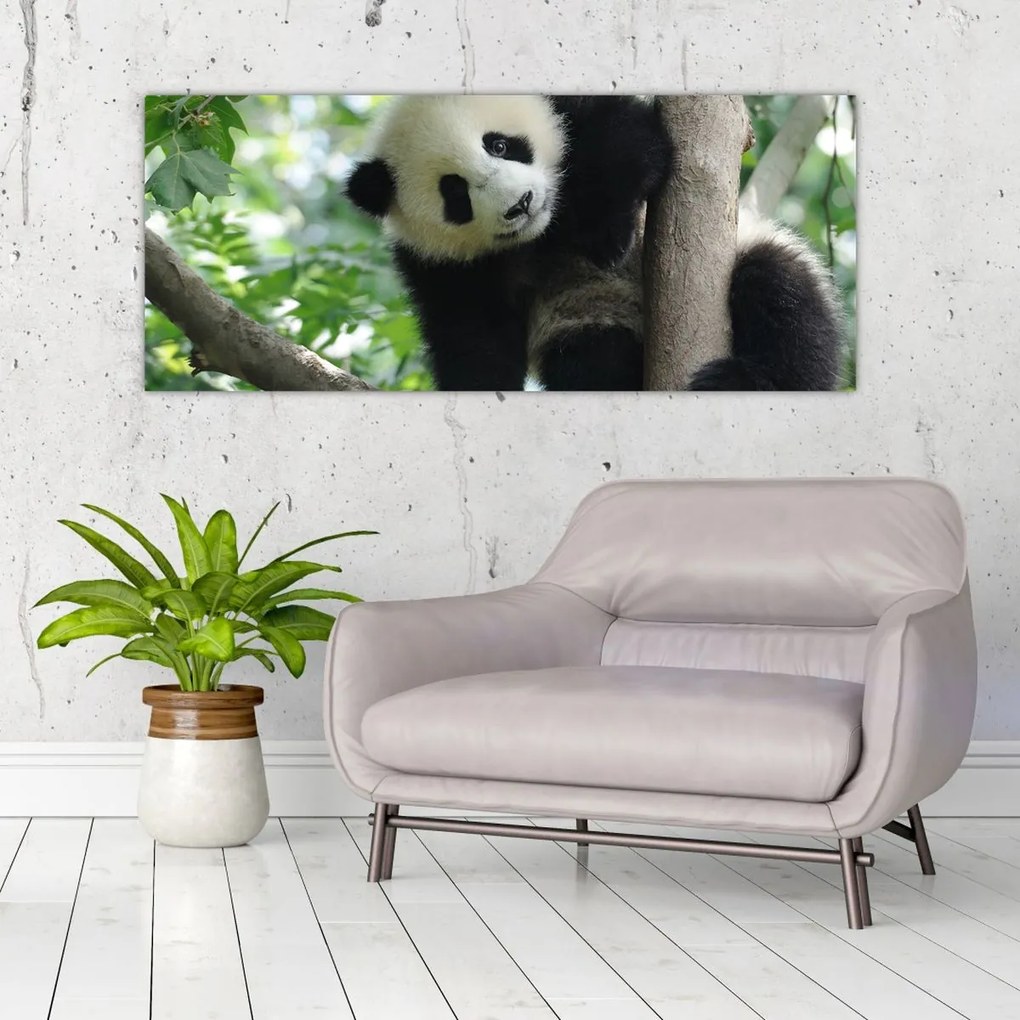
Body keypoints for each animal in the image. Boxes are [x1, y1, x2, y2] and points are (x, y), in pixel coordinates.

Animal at [345, 94, 844, 391]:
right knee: (591, 360)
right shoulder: (442, 266)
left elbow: (630, 139)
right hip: (589, 317)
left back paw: (743, 380)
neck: (542, 233)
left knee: (782, 298)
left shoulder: (571, 108)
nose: (520, 204)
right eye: (455, 193)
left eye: (500, 145)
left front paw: (607, 234)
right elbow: (472, 337)